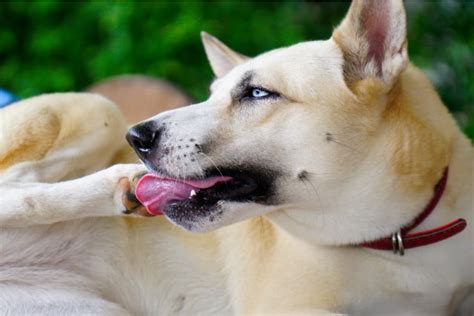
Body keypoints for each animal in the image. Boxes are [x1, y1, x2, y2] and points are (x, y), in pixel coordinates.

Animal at [0, 1, 474, 314]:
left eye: (258, 93)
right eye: (210, 95)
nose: (136, 138)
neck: (399, 237)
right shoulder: (287, 307)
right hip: (98, 107)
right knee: (15, 187)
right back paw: (116, 185)